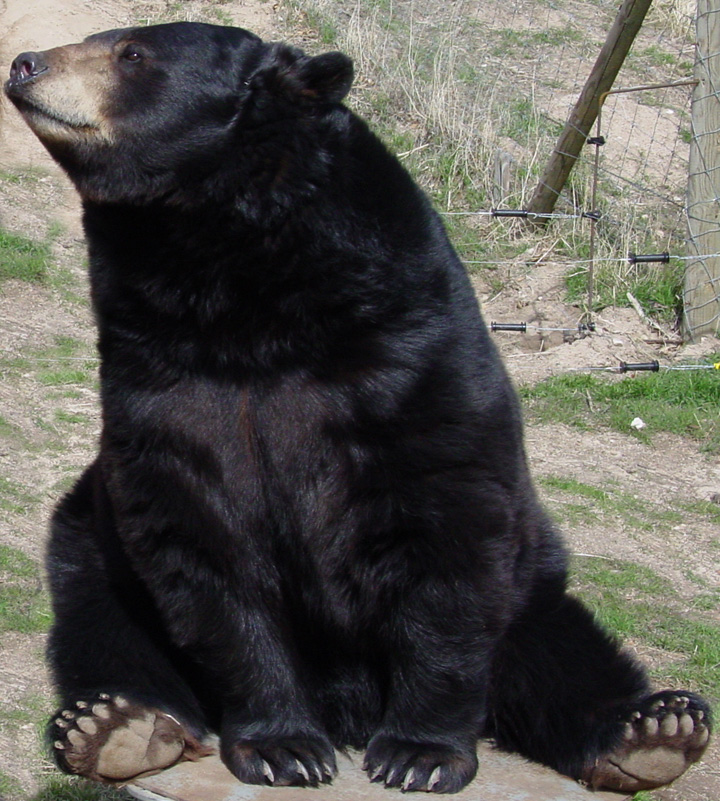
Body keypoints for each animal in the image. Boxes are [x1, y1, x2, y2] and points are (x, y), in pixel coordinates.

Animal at [4, 21, 712, 794]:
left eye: (132, 53)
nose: (25, 62)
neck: (233, 284)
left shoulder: (406, 342)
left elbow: (448, 520)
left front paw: (421, 752)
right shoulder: (158, 371)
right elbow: (203, 540)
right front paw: (283, 745)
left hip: (537, 588)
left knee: (559, 653)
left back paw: (652, 730)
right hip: (89, 544)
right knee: (102, 628)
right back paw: (119, 726)